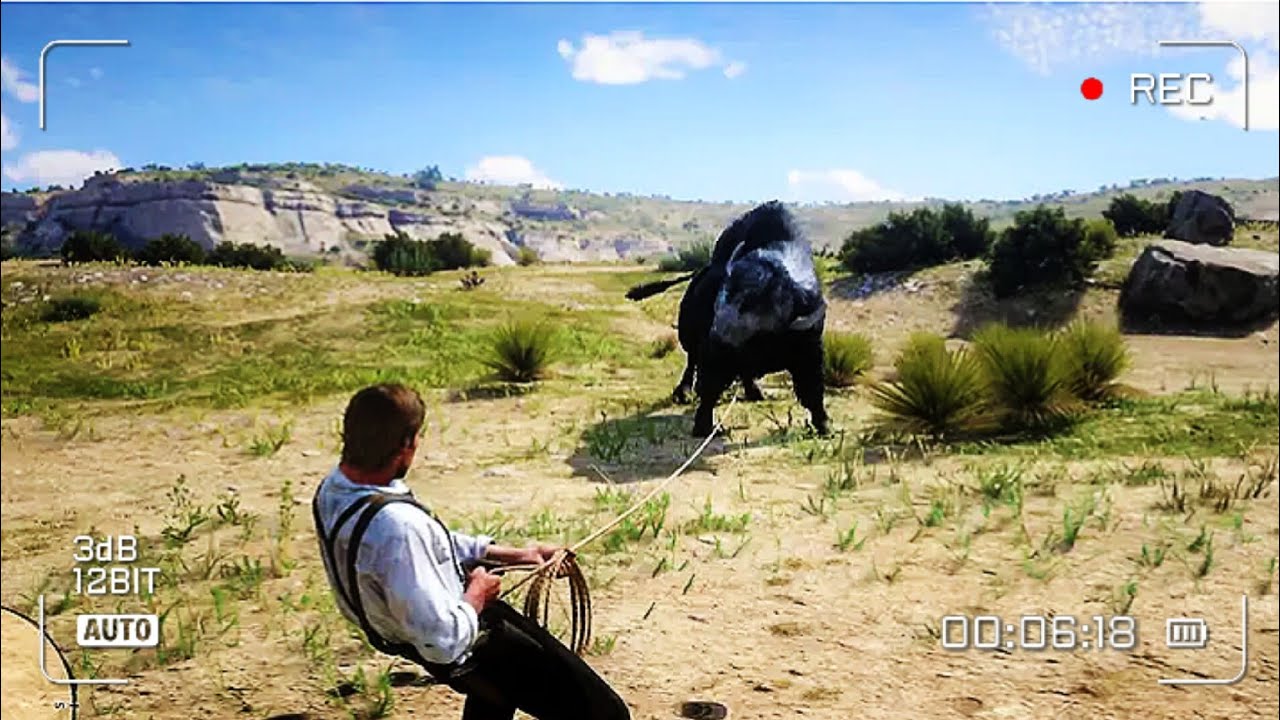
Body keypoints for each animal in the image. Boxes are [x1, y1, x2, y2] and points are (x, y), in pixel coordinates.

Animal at [627, 201, 829, 437]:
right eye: (724, 298)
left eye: (759, 319)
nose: (717, 336)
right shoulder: (714, 359)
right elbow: (709, 389)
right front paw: (702, 426)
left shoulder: (809, 351)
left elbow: (812, 390)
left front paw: (825, 426)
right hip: (690, 338)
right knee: (691, 362)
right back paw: (683, 393)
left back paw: (754, 392)